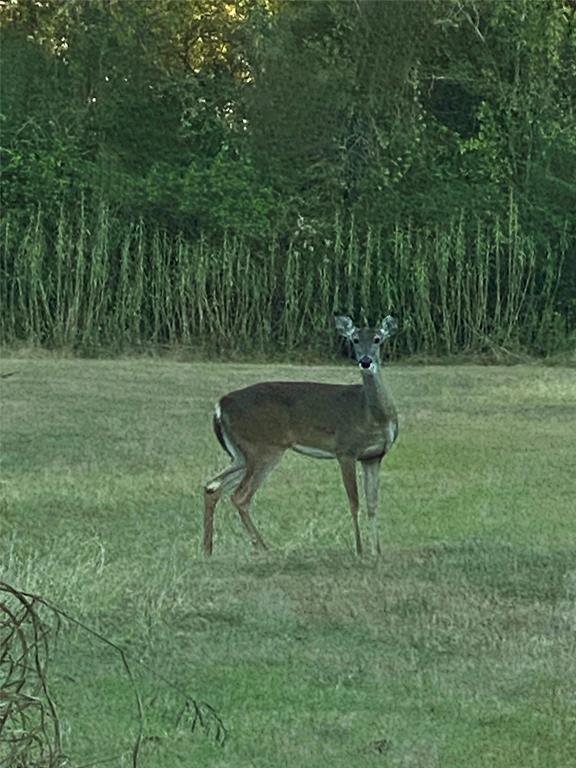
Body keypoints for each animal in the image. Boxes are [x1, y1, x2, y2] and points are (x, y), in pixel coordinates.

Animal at [205, 316, 398, 556]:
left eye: (377, 339)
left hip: (240, 454)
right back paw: (264, 547)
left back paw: (208, 549)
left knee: (212, 487)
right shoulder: (345, 450)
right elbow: (354, 502)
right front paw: (360, 550)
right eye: (354, 339)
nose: (365, 361)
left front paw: (377, 551)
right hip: (262, 448)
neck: (372, 415)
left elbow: (373, 503)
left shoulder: (374, 456)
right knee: (239, 496)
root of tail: (219, 406)